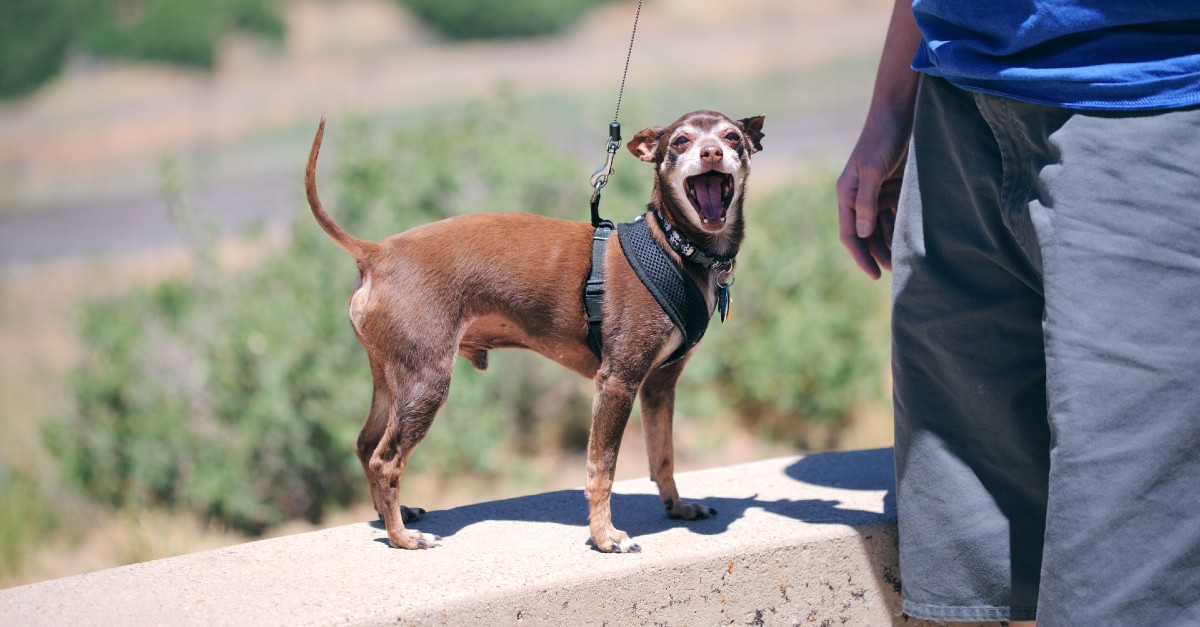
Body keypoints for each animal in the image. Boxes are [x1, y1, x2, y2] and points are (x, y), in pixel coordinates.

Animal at [304, 109, 763, 550]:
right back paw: (402, 537)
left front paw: (677, 507)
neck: (675, 247)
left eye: (731, 137)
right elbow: (602, 468)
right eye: (681, 140)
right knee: (386, 460)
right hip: (426, 381)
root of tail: (377, 253)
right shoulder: (617, 383)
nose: (711, 152)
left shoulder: (659, 384)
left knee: (366, 445)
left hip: (391, 378)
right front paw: (604, 537)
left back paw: (390, 516)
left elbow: (662, 456)